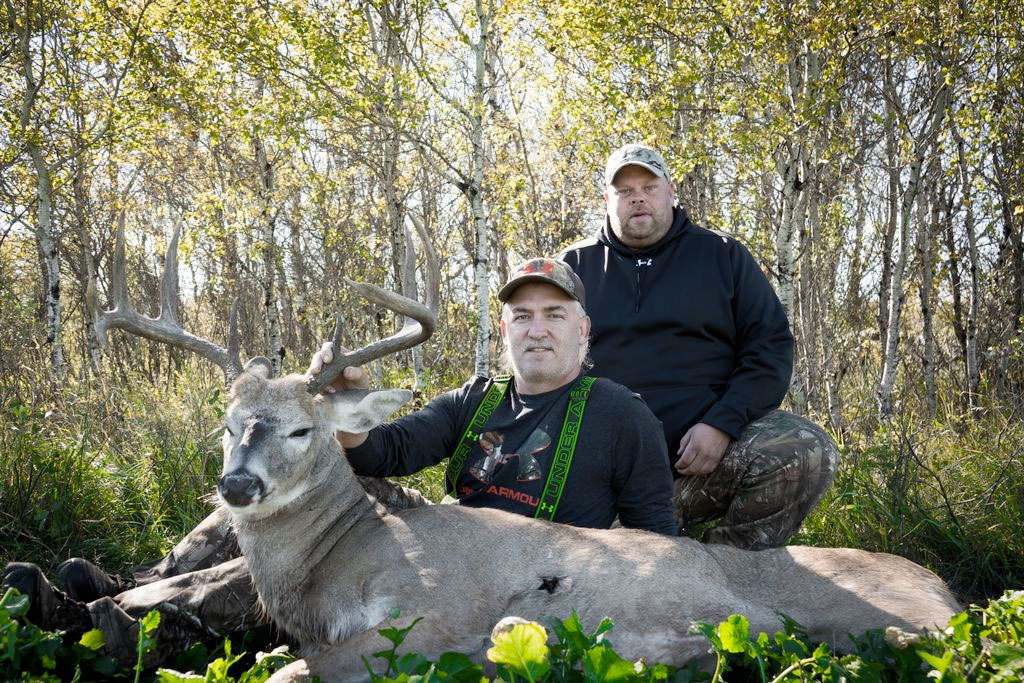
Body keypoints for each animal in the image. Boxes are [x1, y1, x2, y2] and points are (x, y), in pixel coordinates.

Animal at [96, 223, 958, 679]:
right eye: (228, 422)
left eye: (302, 427)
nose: (237, 484)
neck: (342, 560)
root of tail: (942, 583)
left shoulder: (431, 618)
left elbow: (287, 668)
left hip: (884, 622)